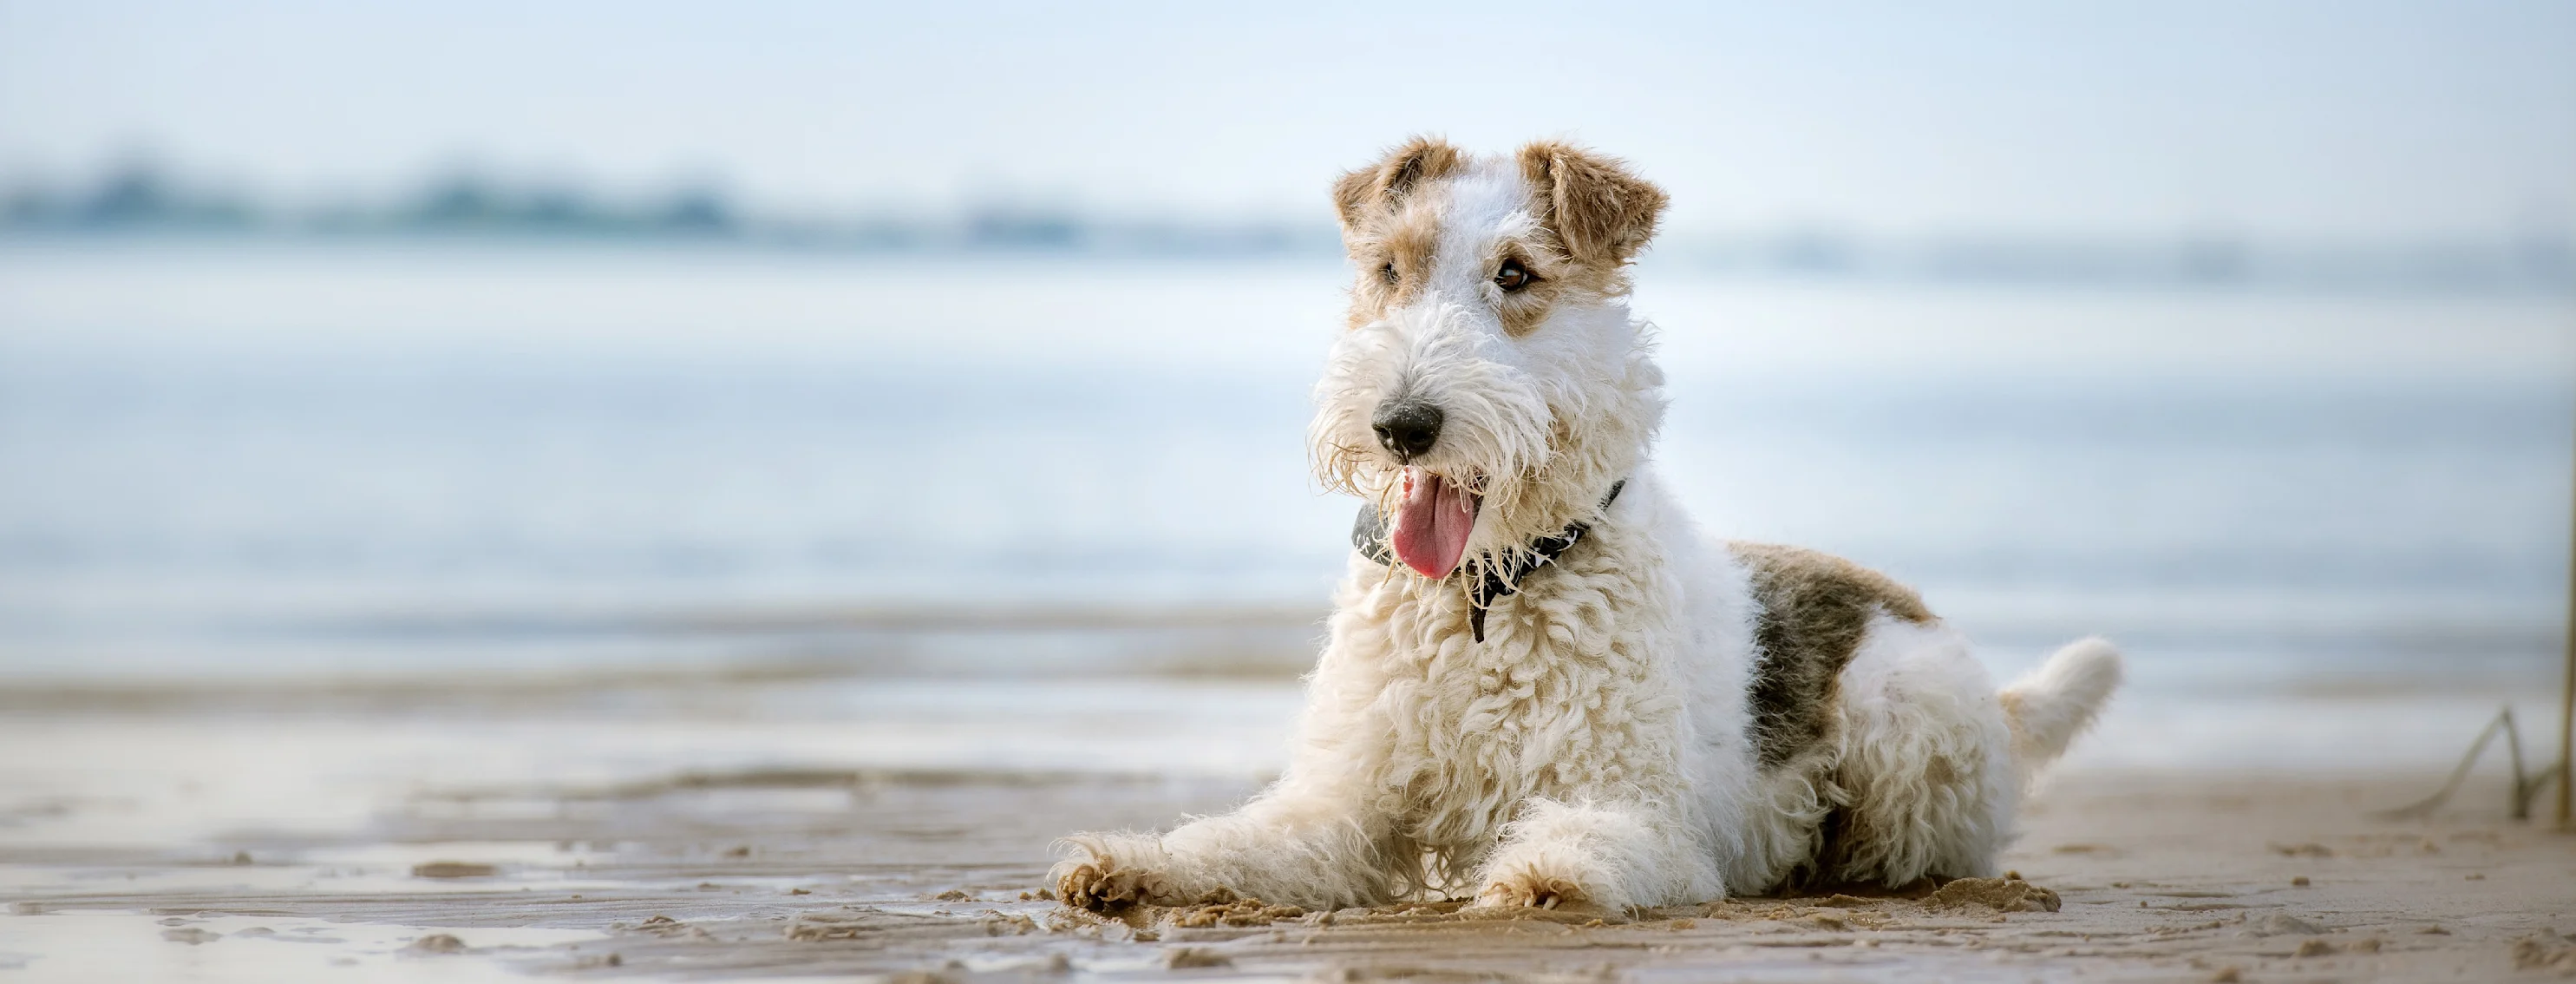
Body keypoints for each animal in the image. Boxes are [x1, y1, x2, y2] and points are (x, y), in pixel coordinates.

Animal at [1045, 138, 2112, 916]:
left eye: (1517, 274)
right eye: (1389, 268)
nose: (1402, 425)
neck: (1488, 592)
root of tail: (1996, 694)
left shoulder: (1637, 809)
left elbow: (1585, 842)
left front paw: (1539, 879)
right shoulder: (1344, 796)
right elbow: (1231, 842)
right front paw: (1126, 864)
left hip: (1903, 722)